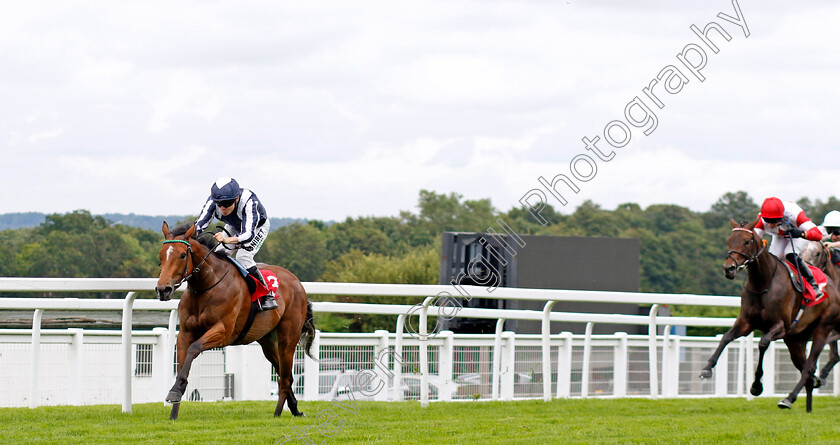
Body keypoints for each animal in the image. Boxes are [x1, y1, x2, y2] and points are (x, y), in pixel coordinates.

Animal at [156, 222, 316, 420]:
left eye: (182, 255)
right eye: (160, 256)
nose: (163, 289)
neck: (206, 286)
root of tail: (297, 283)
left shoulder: (223, 332)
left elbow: (195, 348)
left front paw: (175, 392)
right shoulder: (185, 334)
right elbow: (183, 363)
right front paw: (174, 409)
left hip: (288, 338)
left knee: (285, 378)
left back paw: (278, 412)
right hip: (267, 342)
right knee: (284, 373)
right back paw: (295, 409)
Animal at [700, 217, 840, 412]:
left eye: (747, 241)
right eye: (730, 239)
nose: (729, 268)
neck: (763, 283)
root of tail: (833, 287)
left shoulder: (780, 327)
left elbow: (763, 343)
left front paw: (756, 386)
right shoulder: (745, 322)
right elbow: (726, 337)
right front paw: (707, 368)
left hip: (822, 329)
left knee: (810, 366)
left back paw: (788, 398)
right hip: (795, 339)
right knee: (806, 368)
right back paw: (807, 400)